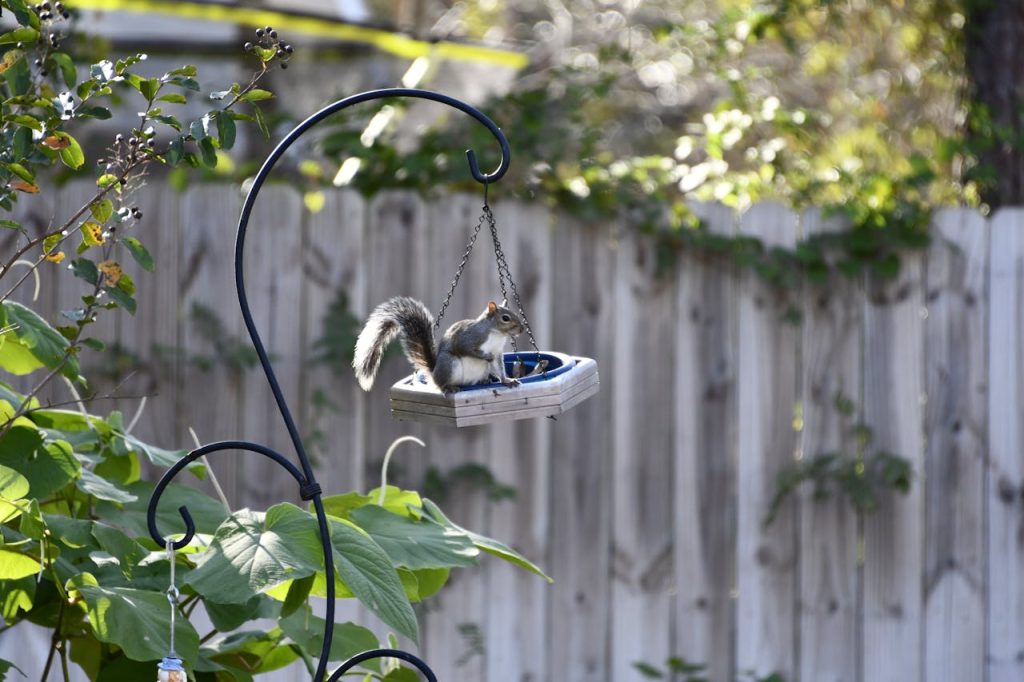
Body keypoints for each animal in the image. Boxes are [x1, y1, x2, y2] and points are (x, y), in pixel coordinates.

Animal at [352, 297, 525, 394]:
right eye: (505, 318)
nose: (522, 329)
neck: (497, 334)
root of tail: (434, 373)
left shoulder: (497, 353)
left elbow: (499, 367)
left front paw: (507, 380)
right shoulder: (468, 338)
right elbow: (467, 349)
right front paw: (484, 356)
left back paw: (484, 381)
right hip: (449, 364)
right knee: (442, 384)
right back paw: (448, 388)